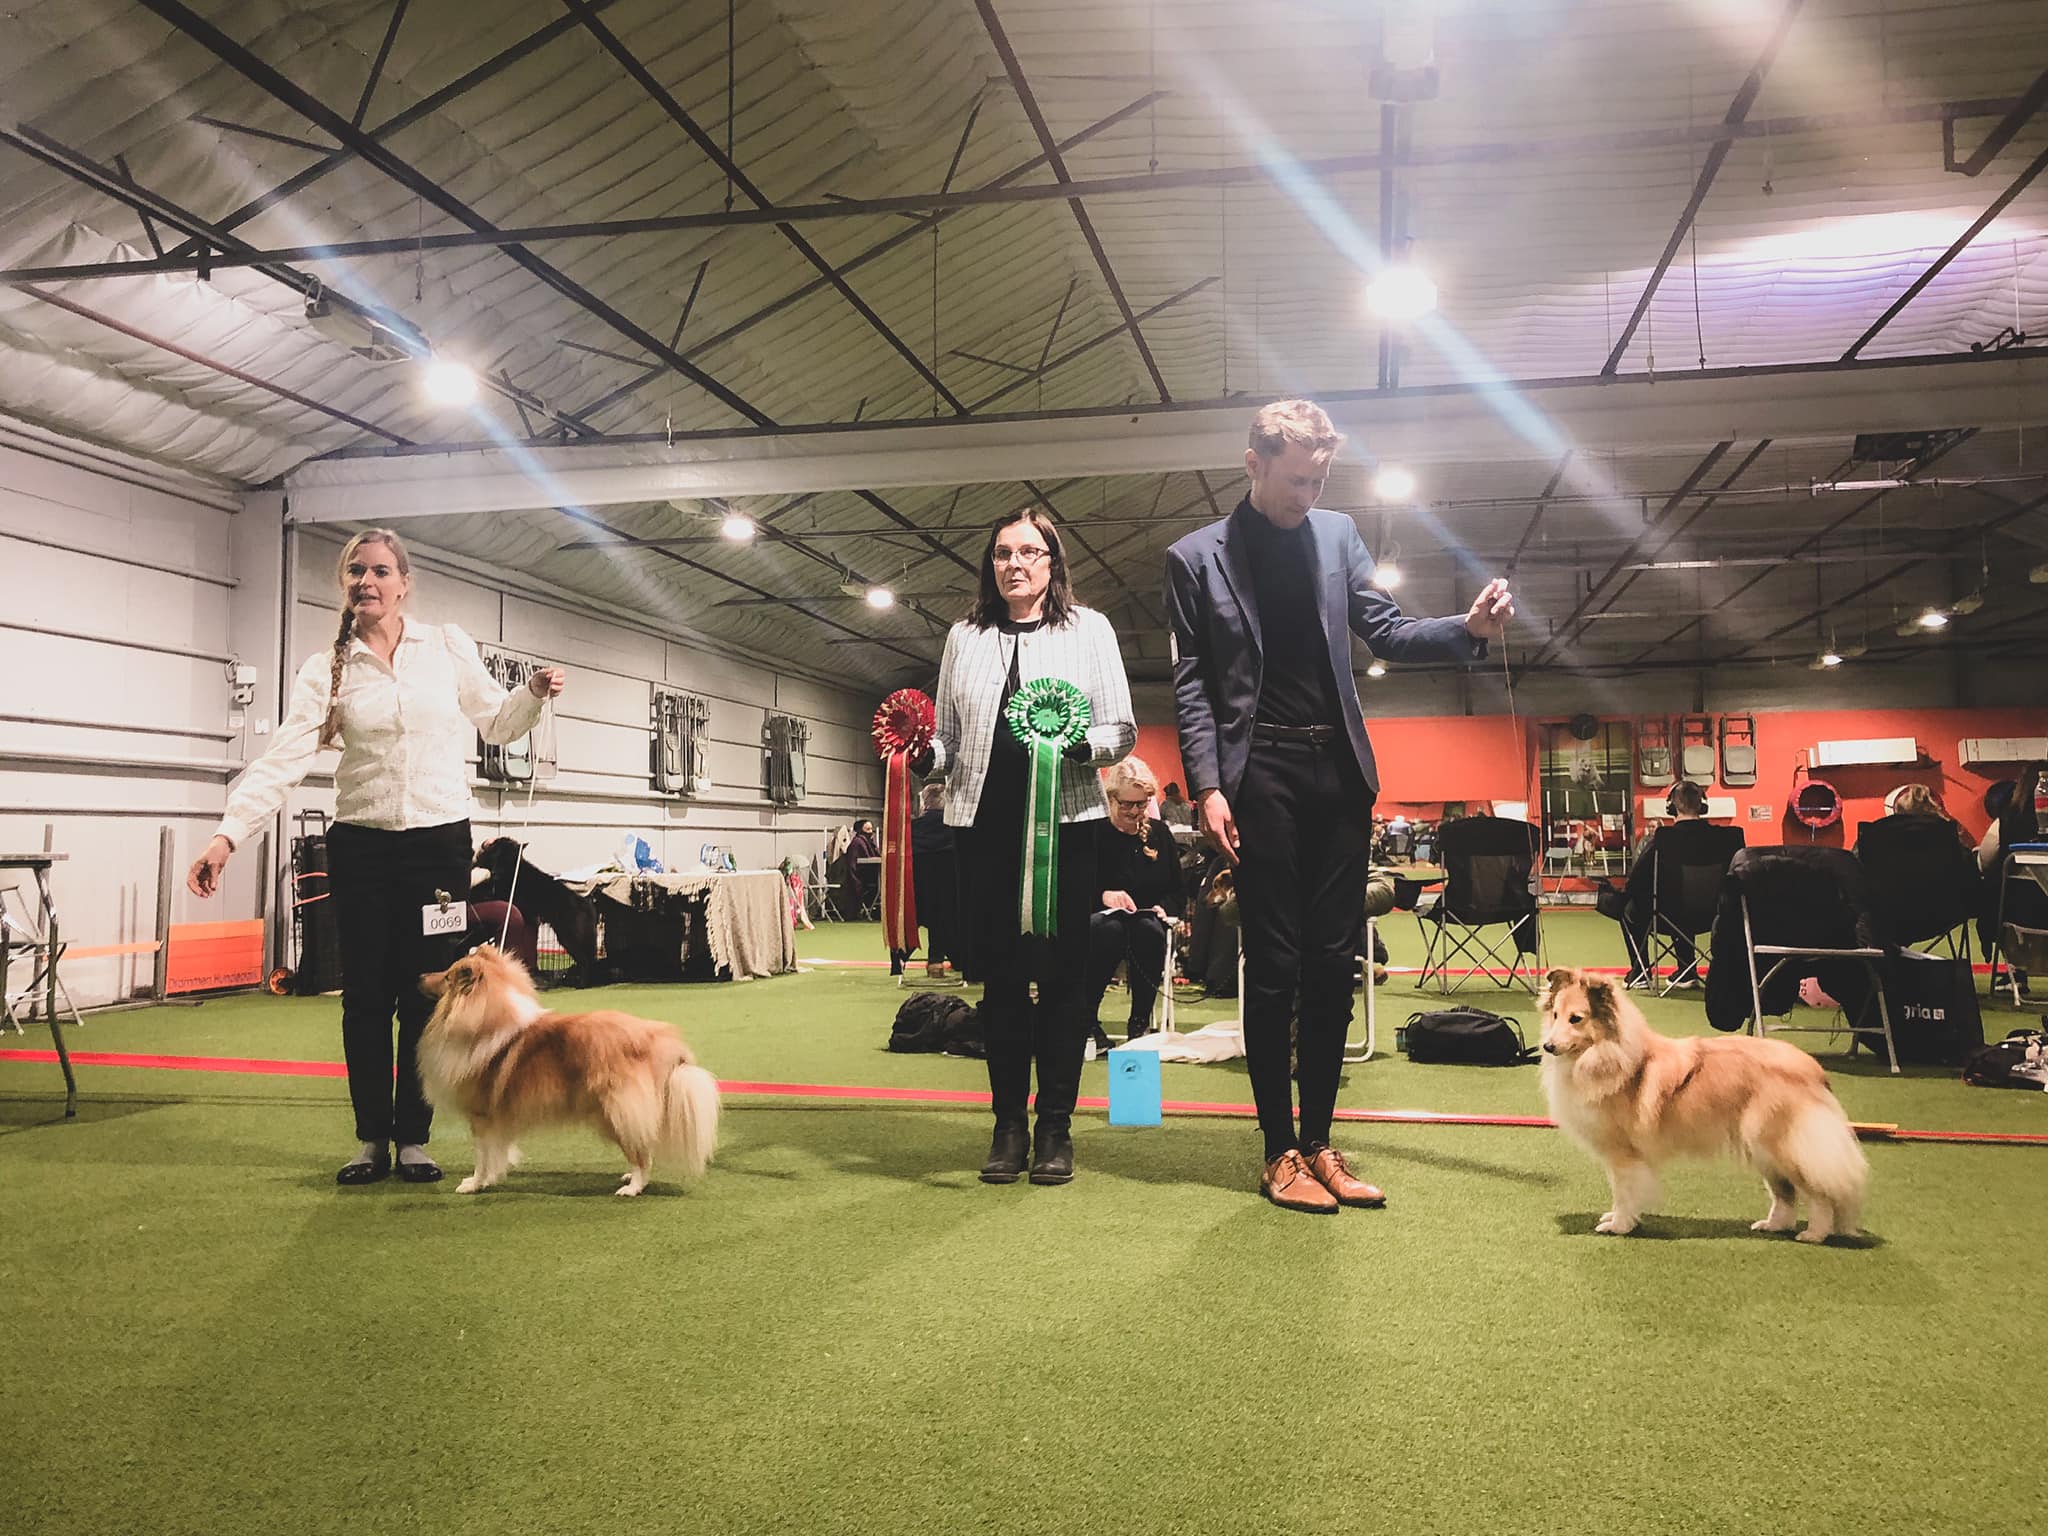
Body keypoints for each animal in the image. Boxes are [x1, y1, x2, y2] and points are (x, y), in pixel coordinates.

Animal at [418, 945, 719, 1197]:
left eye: (447, 977)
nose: (420, 976)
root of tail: (659, 1039)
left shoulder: (481, 1115)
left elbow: (482, 1156)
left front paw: (474, 1184)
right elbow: (497, 1153)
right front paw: (491, 1178)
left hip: (615, 1109)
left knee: (640, 1154)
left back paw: (632, 1188)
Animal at [473, 837, 603, 985]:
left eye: (509, 861)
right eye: (499, 856)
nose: (496, 875)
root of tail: (588, 904)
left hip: (568, 938)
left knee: (585, 961)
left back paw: (581, 984)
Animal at [1537, 966, 1867, 1243]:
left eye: (1576, 1018)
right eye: (1555, 1015)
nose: (1548, 1046)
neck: (1605, 1054)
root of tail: (1813, 1070)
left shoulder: (1623, 1154)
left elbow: (1623, 1193)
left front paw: (1619, 1225)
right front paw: (1619, 1219)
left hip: (1785, 1146)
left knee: (1818, 1194)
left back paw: (1814, 1234)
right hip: (1763, 1149)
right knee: (1784, 1195)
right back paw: (1772, 1226)